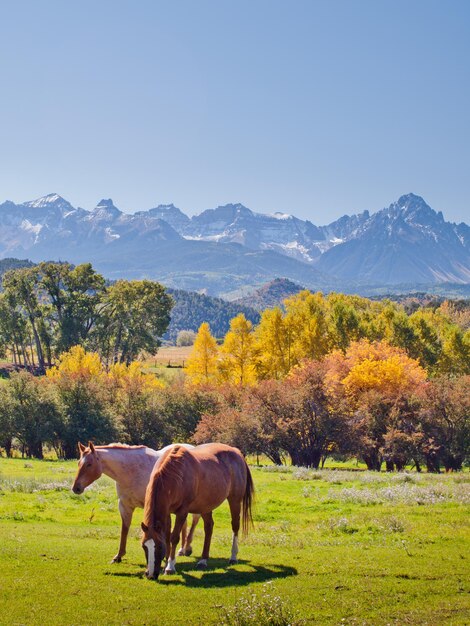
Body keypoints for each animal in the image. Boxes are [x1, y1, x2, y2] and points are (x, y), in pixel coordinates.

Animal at [71, 438, 200, 560]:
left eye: (89, 464)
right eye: (78, 463)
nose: (76, 488)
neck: (131, 472)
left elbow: (166, 531)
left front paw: (167, 556)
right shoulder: (125, 505)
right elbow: (125, 529)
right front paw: (119, 555)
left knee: (194, 521)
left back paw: (187, 548)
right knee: (184, 524)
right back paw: (182, 550)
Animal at [141, 442, 255, 576]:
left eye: (159, 547)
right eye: (144, 546)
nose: (150, 574)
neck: (175, 474)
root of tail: (236, 452)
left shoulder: (182, 512)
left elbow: (174, 537)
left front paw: (170, 566)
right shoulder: (167, 512)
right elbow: (168, 537)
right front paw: (166, 564)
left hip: (235, 500)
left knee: (235, 526)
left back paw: (233, 556)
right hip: (206, 506)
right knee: (209, 527)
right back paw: (203, 560)